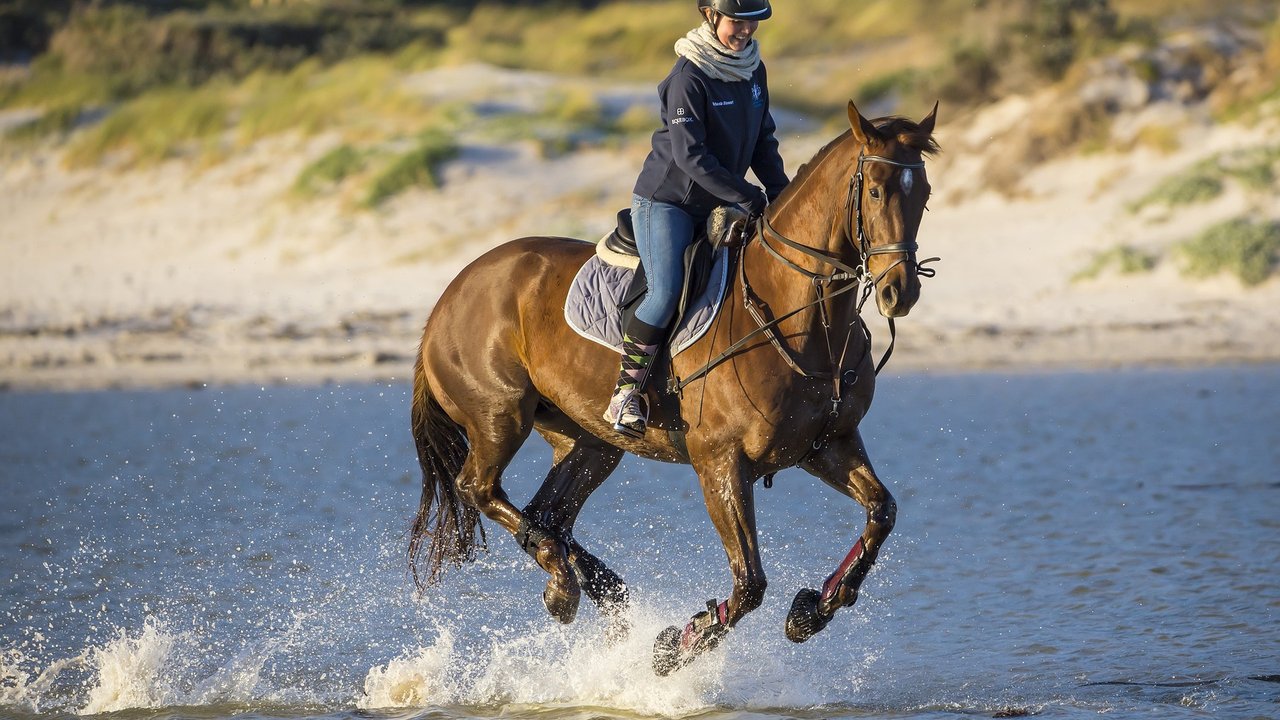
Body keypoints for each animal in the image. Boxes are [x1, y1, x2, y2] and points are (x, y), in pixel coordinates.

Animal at [409, 101, 942, 671]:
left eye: (924, 194)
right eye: (876, 192)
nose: (900, 291)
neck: (798, 317)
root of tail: (447, 296)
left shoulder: (826, 445)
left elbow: (881, 512)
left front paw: (811, 611)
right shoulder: (721, 464)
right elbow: (749, 583)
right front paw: (676, 645)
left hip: (589, 441)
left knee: (547, 514)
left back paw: (595, 591)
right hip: (499, 417)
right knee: (479, 487)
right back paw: (566, 587)